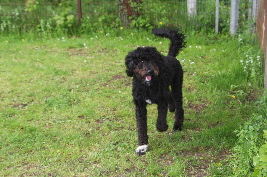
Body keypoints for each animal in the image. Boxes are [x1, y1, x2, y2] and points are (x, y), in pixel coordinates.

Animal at [125, 27, 186, 155]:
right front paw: (142, 146)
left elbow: (160, 121)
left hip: (177, 86)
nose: (150, 71)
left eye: (153, 60)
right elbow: (141, 127)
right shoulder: (140, 106)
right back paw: (172, 108)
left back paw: (177, 125)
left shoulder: (161, 101)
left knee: (179, 106)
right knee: (170, 95)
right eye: (141, 61)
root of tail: (171, 57)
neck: (147, 86)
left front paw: (164, 127)